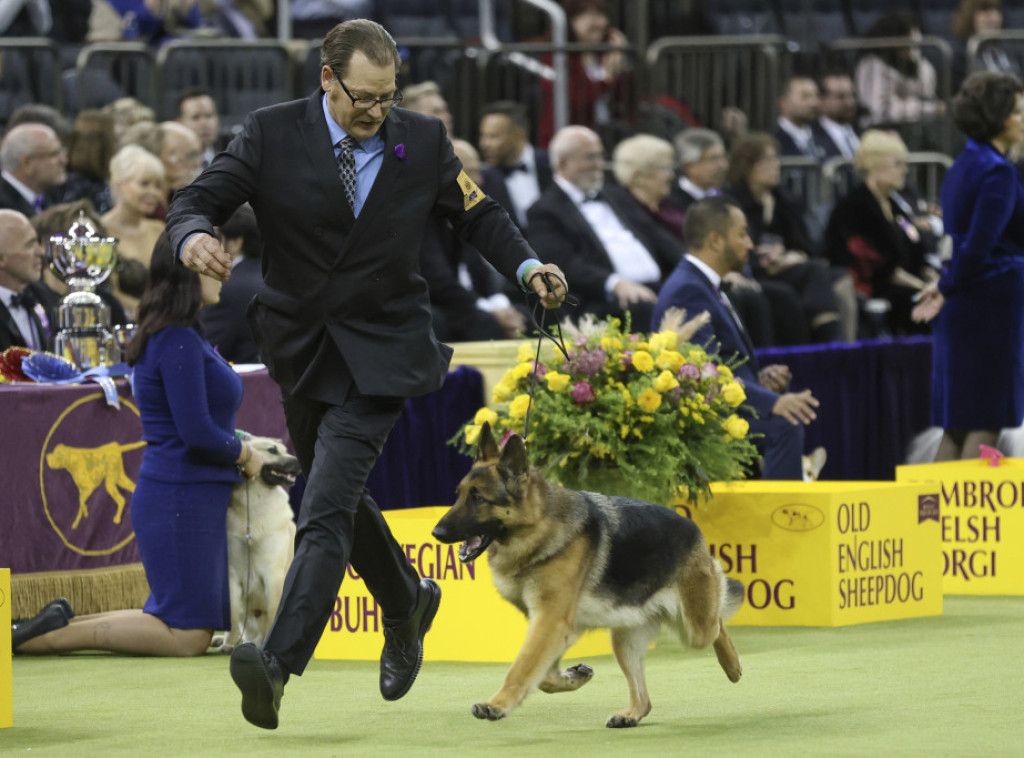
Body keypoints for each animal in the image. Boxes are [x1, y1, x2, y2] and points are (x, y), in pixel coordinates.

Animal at [214, 434, 299, 655]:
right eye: (272, 450)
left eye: (285, 450)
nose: (298, 462)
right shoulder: (232, 574)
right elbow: (233, 616)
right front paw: (229, 644)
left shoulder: (273, 574)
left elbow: (274, 611)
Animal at [432, 424, 745, 725]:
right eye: (459, 495)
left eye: (477, 498)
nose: (437, 533)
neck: (538, 527)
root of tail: (693, 529)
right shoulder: (552, 624)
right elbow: (541, 674)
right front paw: (573, 676)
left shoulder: (551, 620)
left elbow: (521, 667)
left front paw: (496, 705)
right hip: (626, 638)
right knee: (643, 697)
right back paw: (630, 715)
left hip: (695, 626)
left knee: (718, 621)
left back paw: (732, 664)